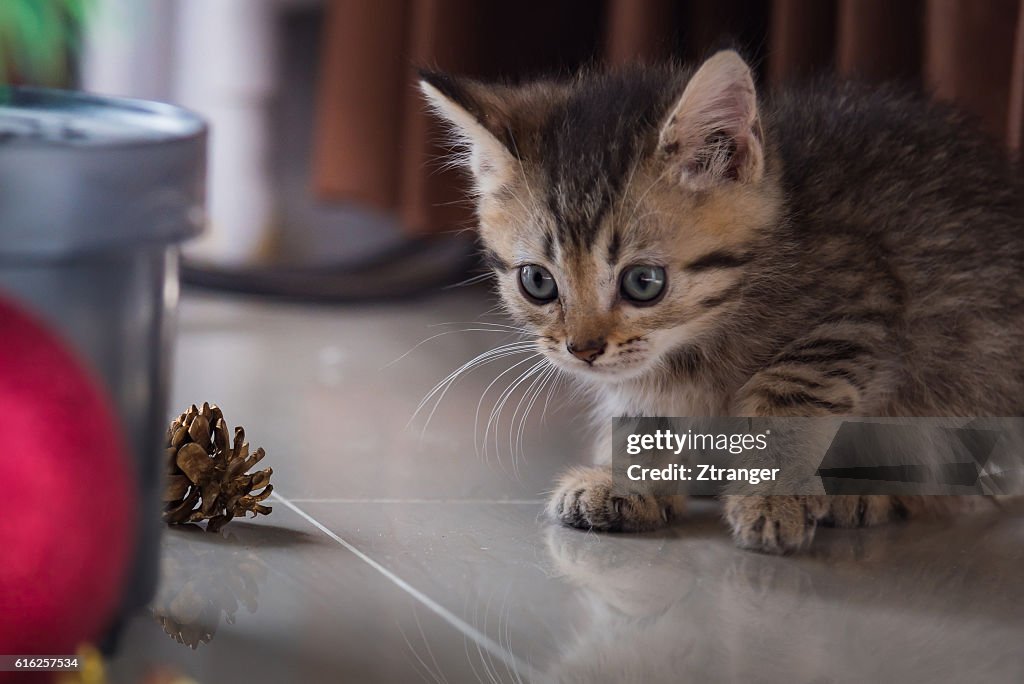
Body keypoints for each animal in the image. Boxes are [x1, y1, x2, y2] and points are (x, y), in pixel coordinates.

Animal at [417, 50, 1024, 552]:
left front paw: (772, 495)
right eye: (537, 282)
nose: (583, 350)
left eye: (643, 282)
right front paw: (631, 481)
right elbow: (643, 412)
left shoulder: (858, 305)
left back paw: (869, 492)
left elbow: (785, 394)